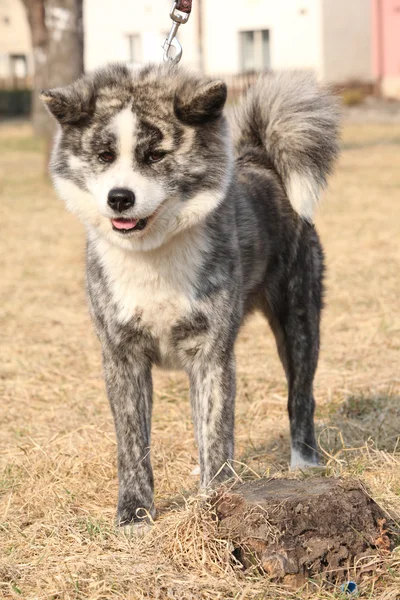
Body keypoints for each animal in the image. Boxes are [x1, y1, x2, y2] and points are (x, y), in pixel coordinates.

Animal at [40, 63, 340, 528]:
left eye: (155, 155)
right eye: (105, 155)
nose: (119, 198)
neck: (152, 253)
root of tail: (260, 159)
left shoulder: (211, 354)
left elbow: (215, 432)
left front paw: (216, 500)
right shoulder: (122, 356)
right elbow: (132, 443)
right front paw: (134, 513)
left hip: (299, 321)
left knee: (300, 397)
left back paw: (305, 463)